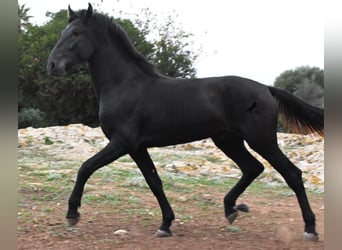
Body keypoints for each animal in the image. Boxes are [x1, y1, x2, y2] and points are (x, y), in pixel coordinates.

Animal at [47, 3, 324, 241]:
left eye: (76, 33)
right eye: (63, 32)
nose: (52, 65)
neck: (125, 85)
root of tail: (267, 89)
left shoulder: (122, 142)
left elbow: (85, 167)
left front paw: (72, 214)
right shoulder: (137, 147)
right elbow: (154, 182)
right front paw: (165, 224)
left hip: (261, 140)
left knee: (291, 174)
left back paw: (310, 229)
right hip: (228, 140)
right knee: (252, 168)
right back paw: (231, 209)